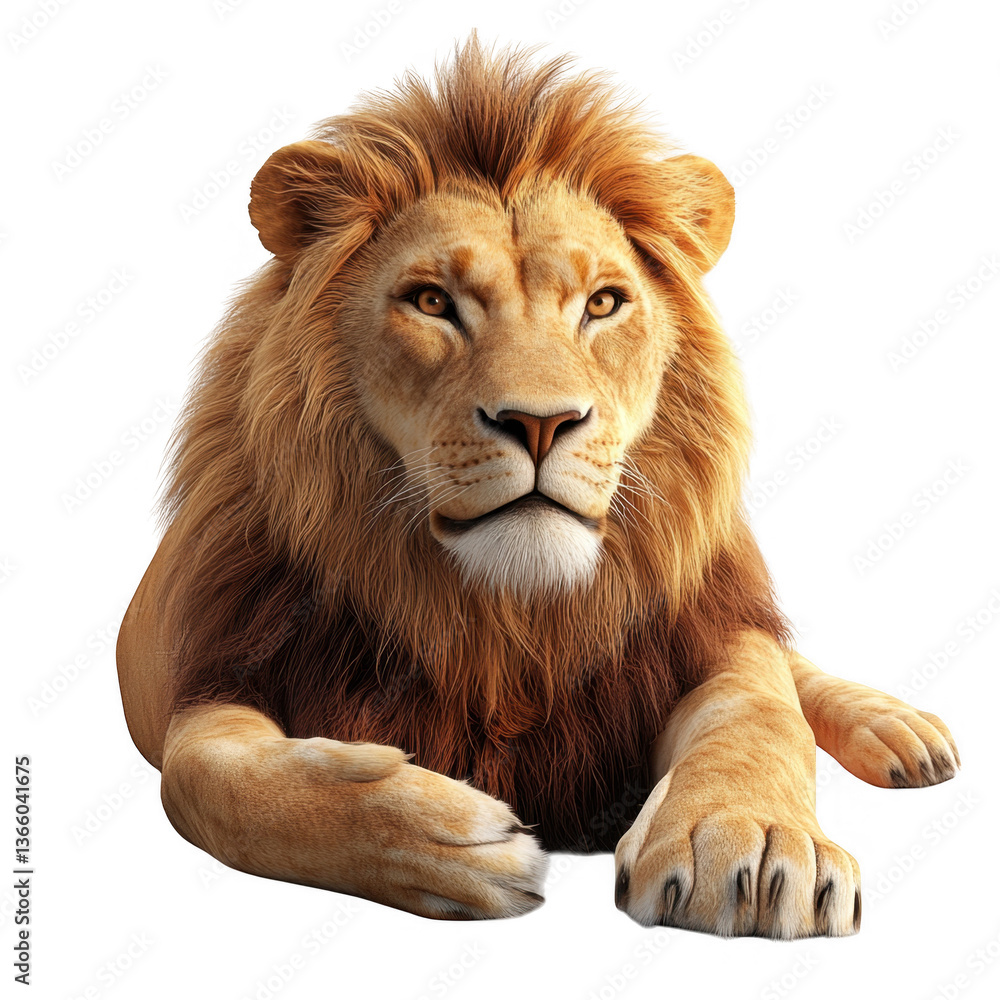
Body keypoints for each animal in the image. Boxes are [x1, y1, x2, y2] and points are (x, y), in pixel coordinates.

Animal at [116, 36, 960, 938]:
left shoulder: (694, 632)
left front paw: (754, 844)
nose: (542, 422)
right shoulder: (219, 671)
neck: (510, 621)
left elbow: (762, 712)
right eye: (431, 301)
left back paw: (903, 731)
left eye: (603, 303)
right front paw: (440, 832)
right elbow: (210, 780)